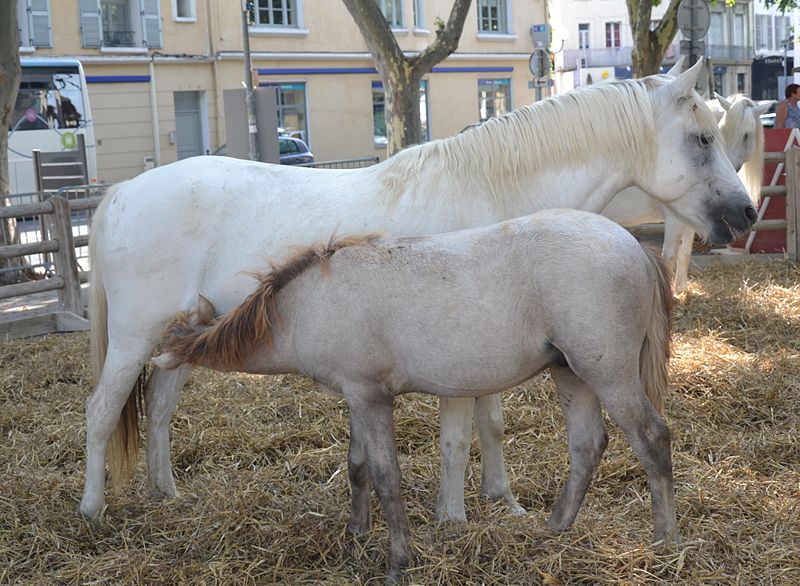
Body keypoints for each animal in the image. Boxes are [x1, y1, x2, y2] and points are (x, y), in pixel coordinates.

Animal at [153, 208, 680, 576]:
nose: (155, 365)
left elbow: (387, 476)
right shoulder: (356, 398)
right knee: (587, 446)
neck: (311, 303)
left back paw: (665, 541)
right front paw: (356, 534)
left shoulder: (371, 398)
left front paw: (398, 561)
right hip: (571, 374)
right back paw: (555, 529)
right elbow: (358, 466)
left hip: (608, 374)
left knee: (652, 438)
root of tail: (635, 246)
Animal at [600, 91, 768, 290]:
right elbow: (669, 258)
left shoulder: (692, 220)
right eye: (722, 129)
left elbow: (685, 253)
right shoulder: (674, 220)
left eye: (746, 135)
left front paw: (681, 289)